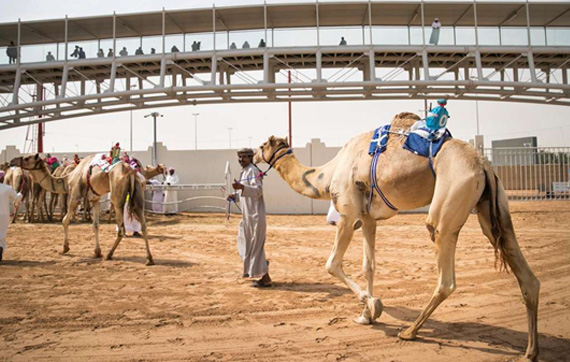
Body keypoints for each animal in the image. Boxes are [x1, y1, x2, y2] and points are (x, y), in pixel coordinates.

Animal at [10, 153, 163, 266]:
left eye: (27, 158)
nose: (12, 161)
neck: (67, 178)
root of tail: (130, 171)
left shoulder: (75, 196)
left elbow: (65, 220)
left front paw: (65, 248)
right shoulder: (95, 199)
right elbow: (95, 225)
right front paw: (97, 252)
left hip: (117, 197)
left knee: (121, 228)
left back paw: (109, 255)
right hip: (138, 195)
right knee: (144, 226)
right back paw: (149, 259)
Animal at [255, 111, 540, 360]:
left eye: (262, 144)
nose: (249, 154)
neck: (327, 174)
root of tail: (483, 164)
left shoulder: (347, 214)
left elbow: (332, 264)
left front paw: (374, 305)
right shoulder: (368, 218)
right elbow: (368, 266)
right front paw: (366, 314)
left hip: (452, 198)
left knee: (445, 274)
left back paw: (410, 331)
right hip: (492, 208)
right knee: (526, 274)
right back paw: (530, 351)